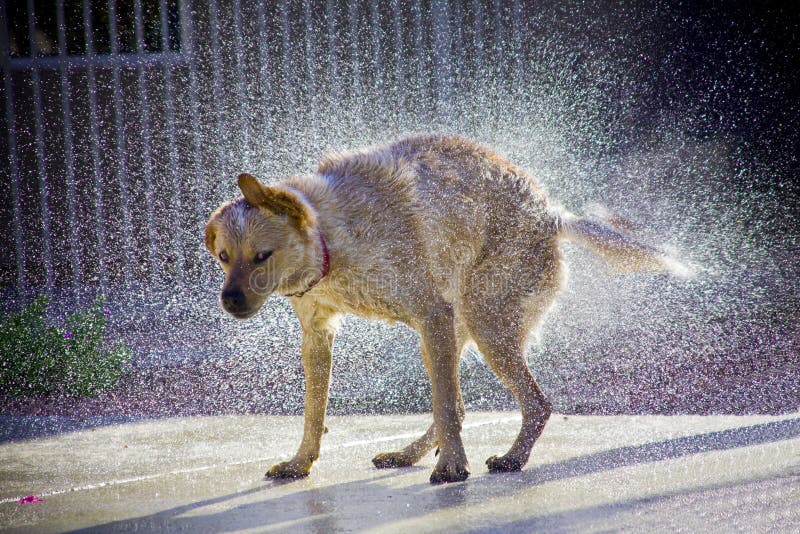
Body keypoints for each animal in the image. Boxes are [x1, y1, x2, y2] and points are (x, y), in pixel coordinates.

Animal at [203, 135, 684, 486]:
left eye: (261, 256)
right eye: (224, 257)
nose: (230, 300)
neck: (332, 238)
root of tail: (552, 214)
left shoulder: (430, 314)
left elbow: (447, 407)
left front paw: (452, 467)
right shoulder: (318, 336)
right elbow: (313, 414)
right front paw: (300, 463)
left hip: (482, 325)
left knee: (533, 404)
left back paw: (511, 458)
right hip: (454, 331)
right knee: (462, 404)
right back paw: (408, 454)